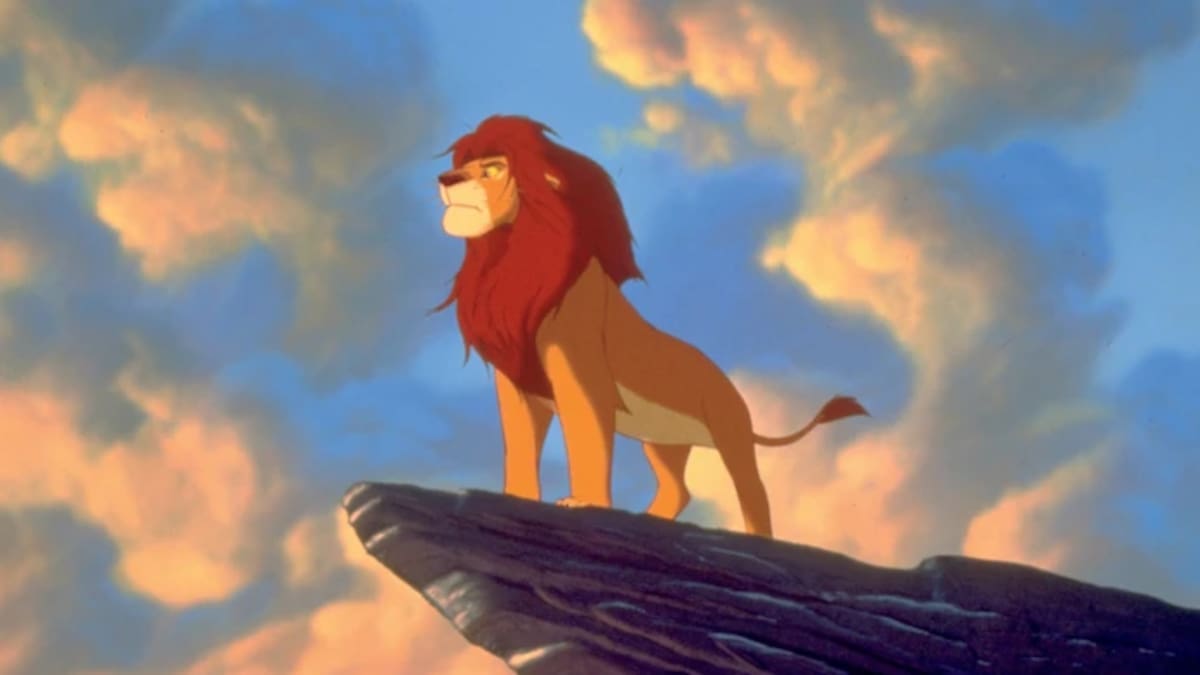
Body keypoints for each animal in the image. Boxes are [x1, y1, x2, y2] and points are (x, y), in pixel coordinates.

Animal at [433, 115, 867, 537]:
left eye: (493, 169)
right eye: (463, 164)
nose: (446, 179)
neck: (511, 258)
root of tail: (728, 385)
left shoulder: (581, 369)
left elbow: (586, 433)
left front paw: (583, 501)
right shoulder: (518, 382)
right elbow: (520, 444)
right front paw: (517, 496)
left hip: (730, 434)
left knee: (753, 492)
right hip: (663, 443)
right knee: (679, 490)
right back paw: (651, 518)